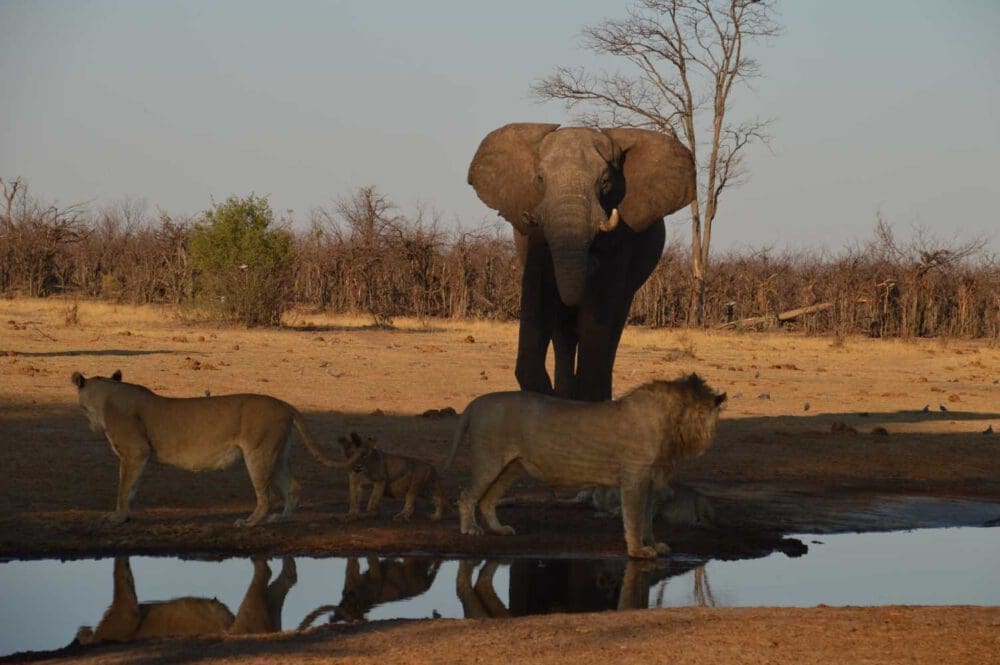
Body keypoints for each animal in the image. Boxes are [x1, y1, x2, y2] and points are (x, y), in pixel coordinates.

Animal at [75, 368, 364, 524]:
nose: (88, 424)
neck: (107, 397)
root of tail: (285, 404)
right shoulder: (137, 456)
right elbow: (132, 488)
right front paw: (125, 517)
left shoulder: (135, 452)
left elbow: (124, 488)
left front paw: (117, 517)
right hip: (278, 454)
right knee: (293, 487)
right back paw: (281, 519)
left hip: (258, 452)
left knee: (266, 496)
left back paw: (249, 522)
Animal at [446, 374, 728, 556]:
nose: (709, 442)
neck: (671, 424)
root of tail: (476, 403)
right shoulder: (634, 478)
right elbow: (634, 518)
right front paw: (638, 551)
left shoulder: (649, 482)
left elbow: (647, 518)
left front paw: (654, 544)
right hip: (489, 460)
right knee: (466, 495)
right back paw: (470, 529)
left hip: (511, 467)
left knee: (487, 500)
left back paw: (499, 529)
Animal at [470, 123, 696, 400]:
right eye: (540, 179)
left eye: (606, 182)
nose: (591, 262)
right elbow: (539, 294)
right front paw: (548, 397)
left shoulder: (622, 237)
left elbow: (599, 304)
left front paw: (587, 398)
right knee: (563, 331)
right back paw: (566, 394)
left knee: (613, 324)